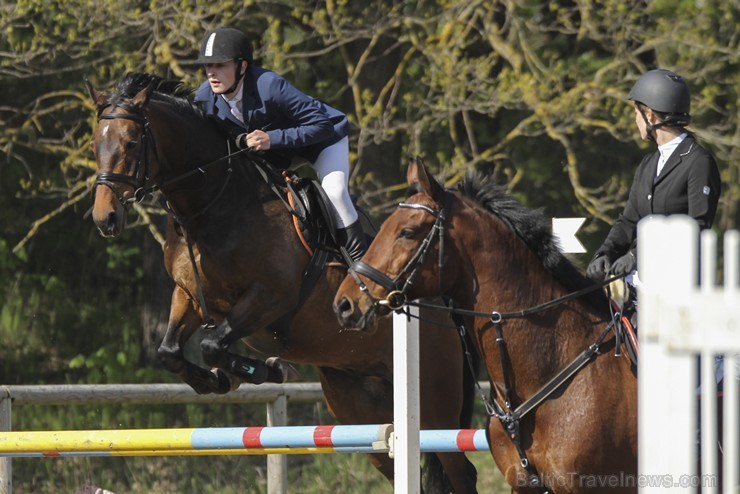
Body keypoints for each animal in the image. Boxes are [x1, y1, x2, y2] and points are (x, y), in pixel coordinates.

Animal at [88, 71, 480, 492]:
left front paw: (269, 371)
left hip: (434, 402)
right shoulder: (189, 296)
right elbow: (170, 352)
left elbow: (212, 344)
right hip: (358, 404)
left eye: (131, 142)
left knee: (461, 470)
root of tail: (444, 309)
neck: (216, 204)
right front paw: (218, 381)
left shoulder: (271, 297)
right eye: (95, 143)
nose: (105, 218)